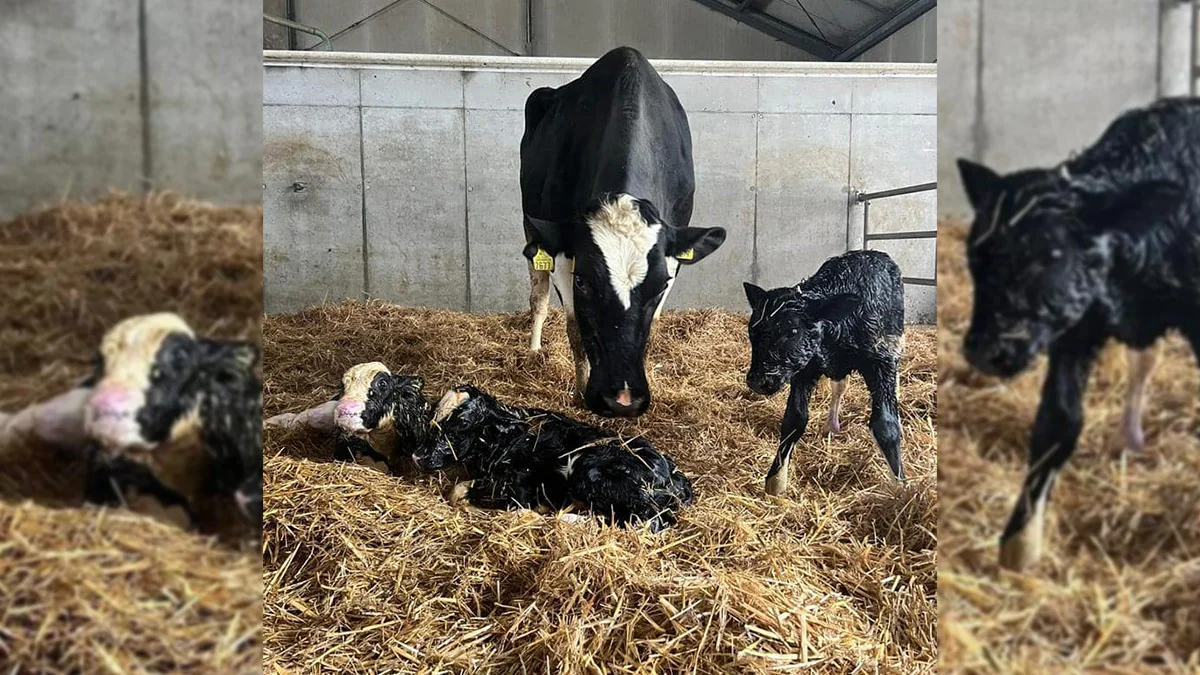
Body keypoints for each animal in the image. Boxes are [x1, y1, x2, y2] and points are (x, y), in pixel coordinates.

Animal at [520, 45, 724, 415]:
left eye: (661, 285)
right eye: (584, 283)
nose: (623, 400)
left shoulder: (673, 254)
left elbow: (652, 326)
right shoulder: (564, 247)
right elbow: (575, 326)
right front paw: (579, 392)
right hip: (533, 229)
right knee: (538, 296)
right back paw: (534, 351)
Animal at [739, 249, 907, 492]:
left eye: (792, 331)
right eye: (752, 331)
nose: (757, 381)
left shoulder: (880, 361)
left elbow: (885, 425)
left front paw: (901, 487)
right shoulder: (805, 368)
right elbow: (794, 419)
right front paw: (776, 482)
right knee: (840, 386)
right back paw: (831, 425)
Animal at [950, 94, 1195, 566]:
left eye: (1052, 255)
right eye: (974, 255)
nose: (985, 351)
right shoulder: (1078, 324)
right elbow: (1058, 422)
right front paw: (1019, 548)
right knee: (1143, 360)